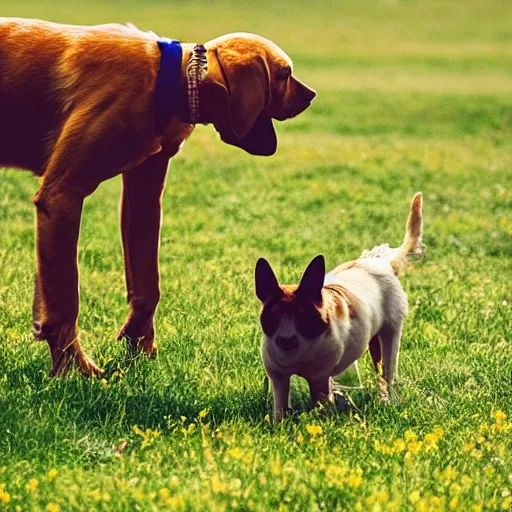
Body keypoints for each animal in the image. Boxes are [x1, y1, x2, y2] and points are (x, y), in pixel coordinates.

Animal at [1, 19, 316, 376]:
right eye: (285, 74)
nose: (312, 96)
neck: (169, 81)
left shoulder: (143, 196)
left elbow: (146, 282)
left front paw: (139, 346)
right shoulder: (62, 194)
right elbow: (64, 300)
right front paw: (74, 370)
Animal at [254, 192, 422, 420]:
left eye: (303, 315)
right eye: (273, 316)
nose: (286, 340)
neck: (298, 354)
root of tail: (380, 262)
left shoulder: (320, 379)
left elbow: (321, 402)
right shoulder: (278, 378)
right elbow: (279, 408)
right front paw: (279, 424)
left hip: (391, 333)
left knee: (388, 374)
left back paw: (389, 401)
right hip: (373, 341)